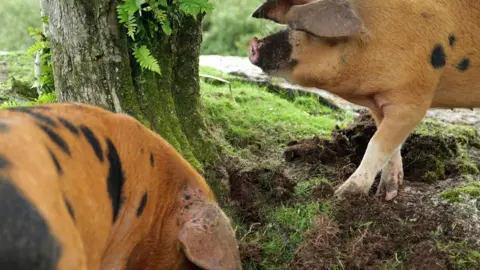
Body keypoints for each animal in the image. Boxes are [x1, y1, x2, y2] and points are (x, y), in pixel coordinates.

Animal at [248, 0, 480, 200]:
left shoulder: (413, 99)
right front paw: (386, 194)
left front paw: (341, 195)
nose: (253, 45)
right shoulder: (379, 104)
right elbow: (390, 145)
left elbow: (376, 143)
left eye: (306, 31)